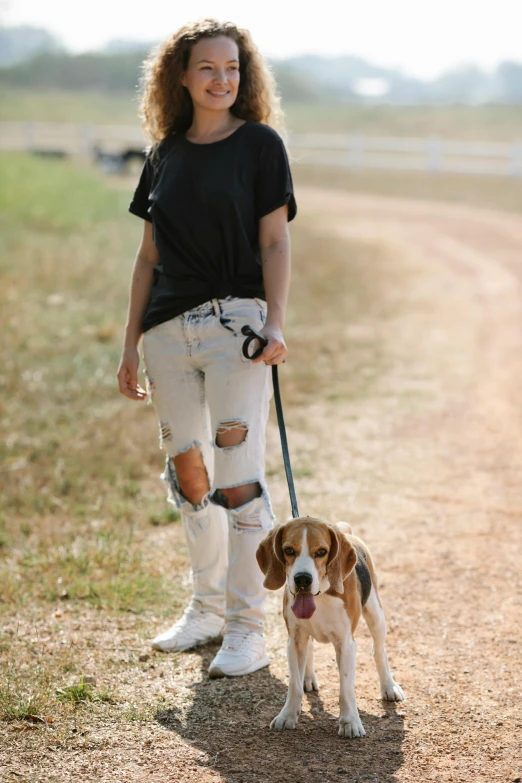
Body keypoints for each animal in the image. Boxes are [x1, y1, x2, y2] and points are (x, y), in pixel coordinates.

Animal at [256, 516, 402, 740]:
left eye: (321, 552)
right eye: (289, 550)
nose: (302, 579)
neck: (321, 595)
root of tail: (345, 531)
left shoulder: (346, 644)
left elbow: (346, 689)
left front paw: (350, 722)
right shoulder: (294, 641)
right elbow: (294, 685)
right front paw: (287, 715)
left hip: (376, 617)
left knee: (379, 652)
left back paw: (389, 686)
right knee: (309, 652)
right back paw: (308, 678)